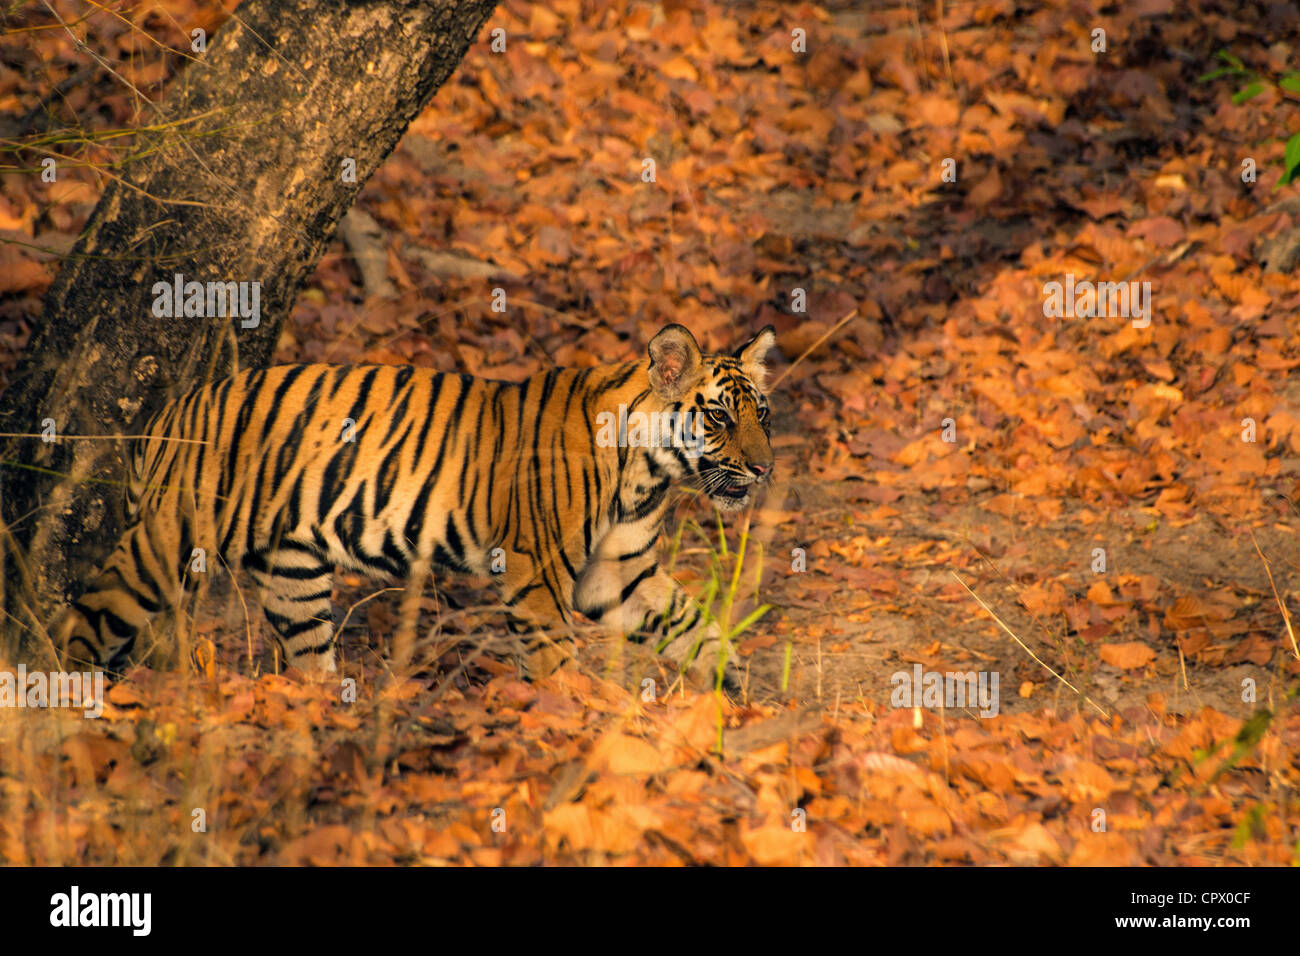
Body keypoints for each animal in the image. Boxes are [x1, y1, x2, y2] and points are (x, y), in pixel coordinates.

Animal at [53, 325, 769, 691]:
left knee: (308, 654)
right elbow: (554, 655)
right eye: (718, 416)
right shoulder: (538, 569)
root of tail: (165, 415)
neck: (650, 473)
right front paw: (570, 721)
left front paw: (738, 690)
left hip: (293, 572)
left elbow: (694, 625)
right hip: (169, 540)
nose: (764, 468)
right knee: (90, 615)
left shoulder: (617, 573)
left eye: (761, 413)